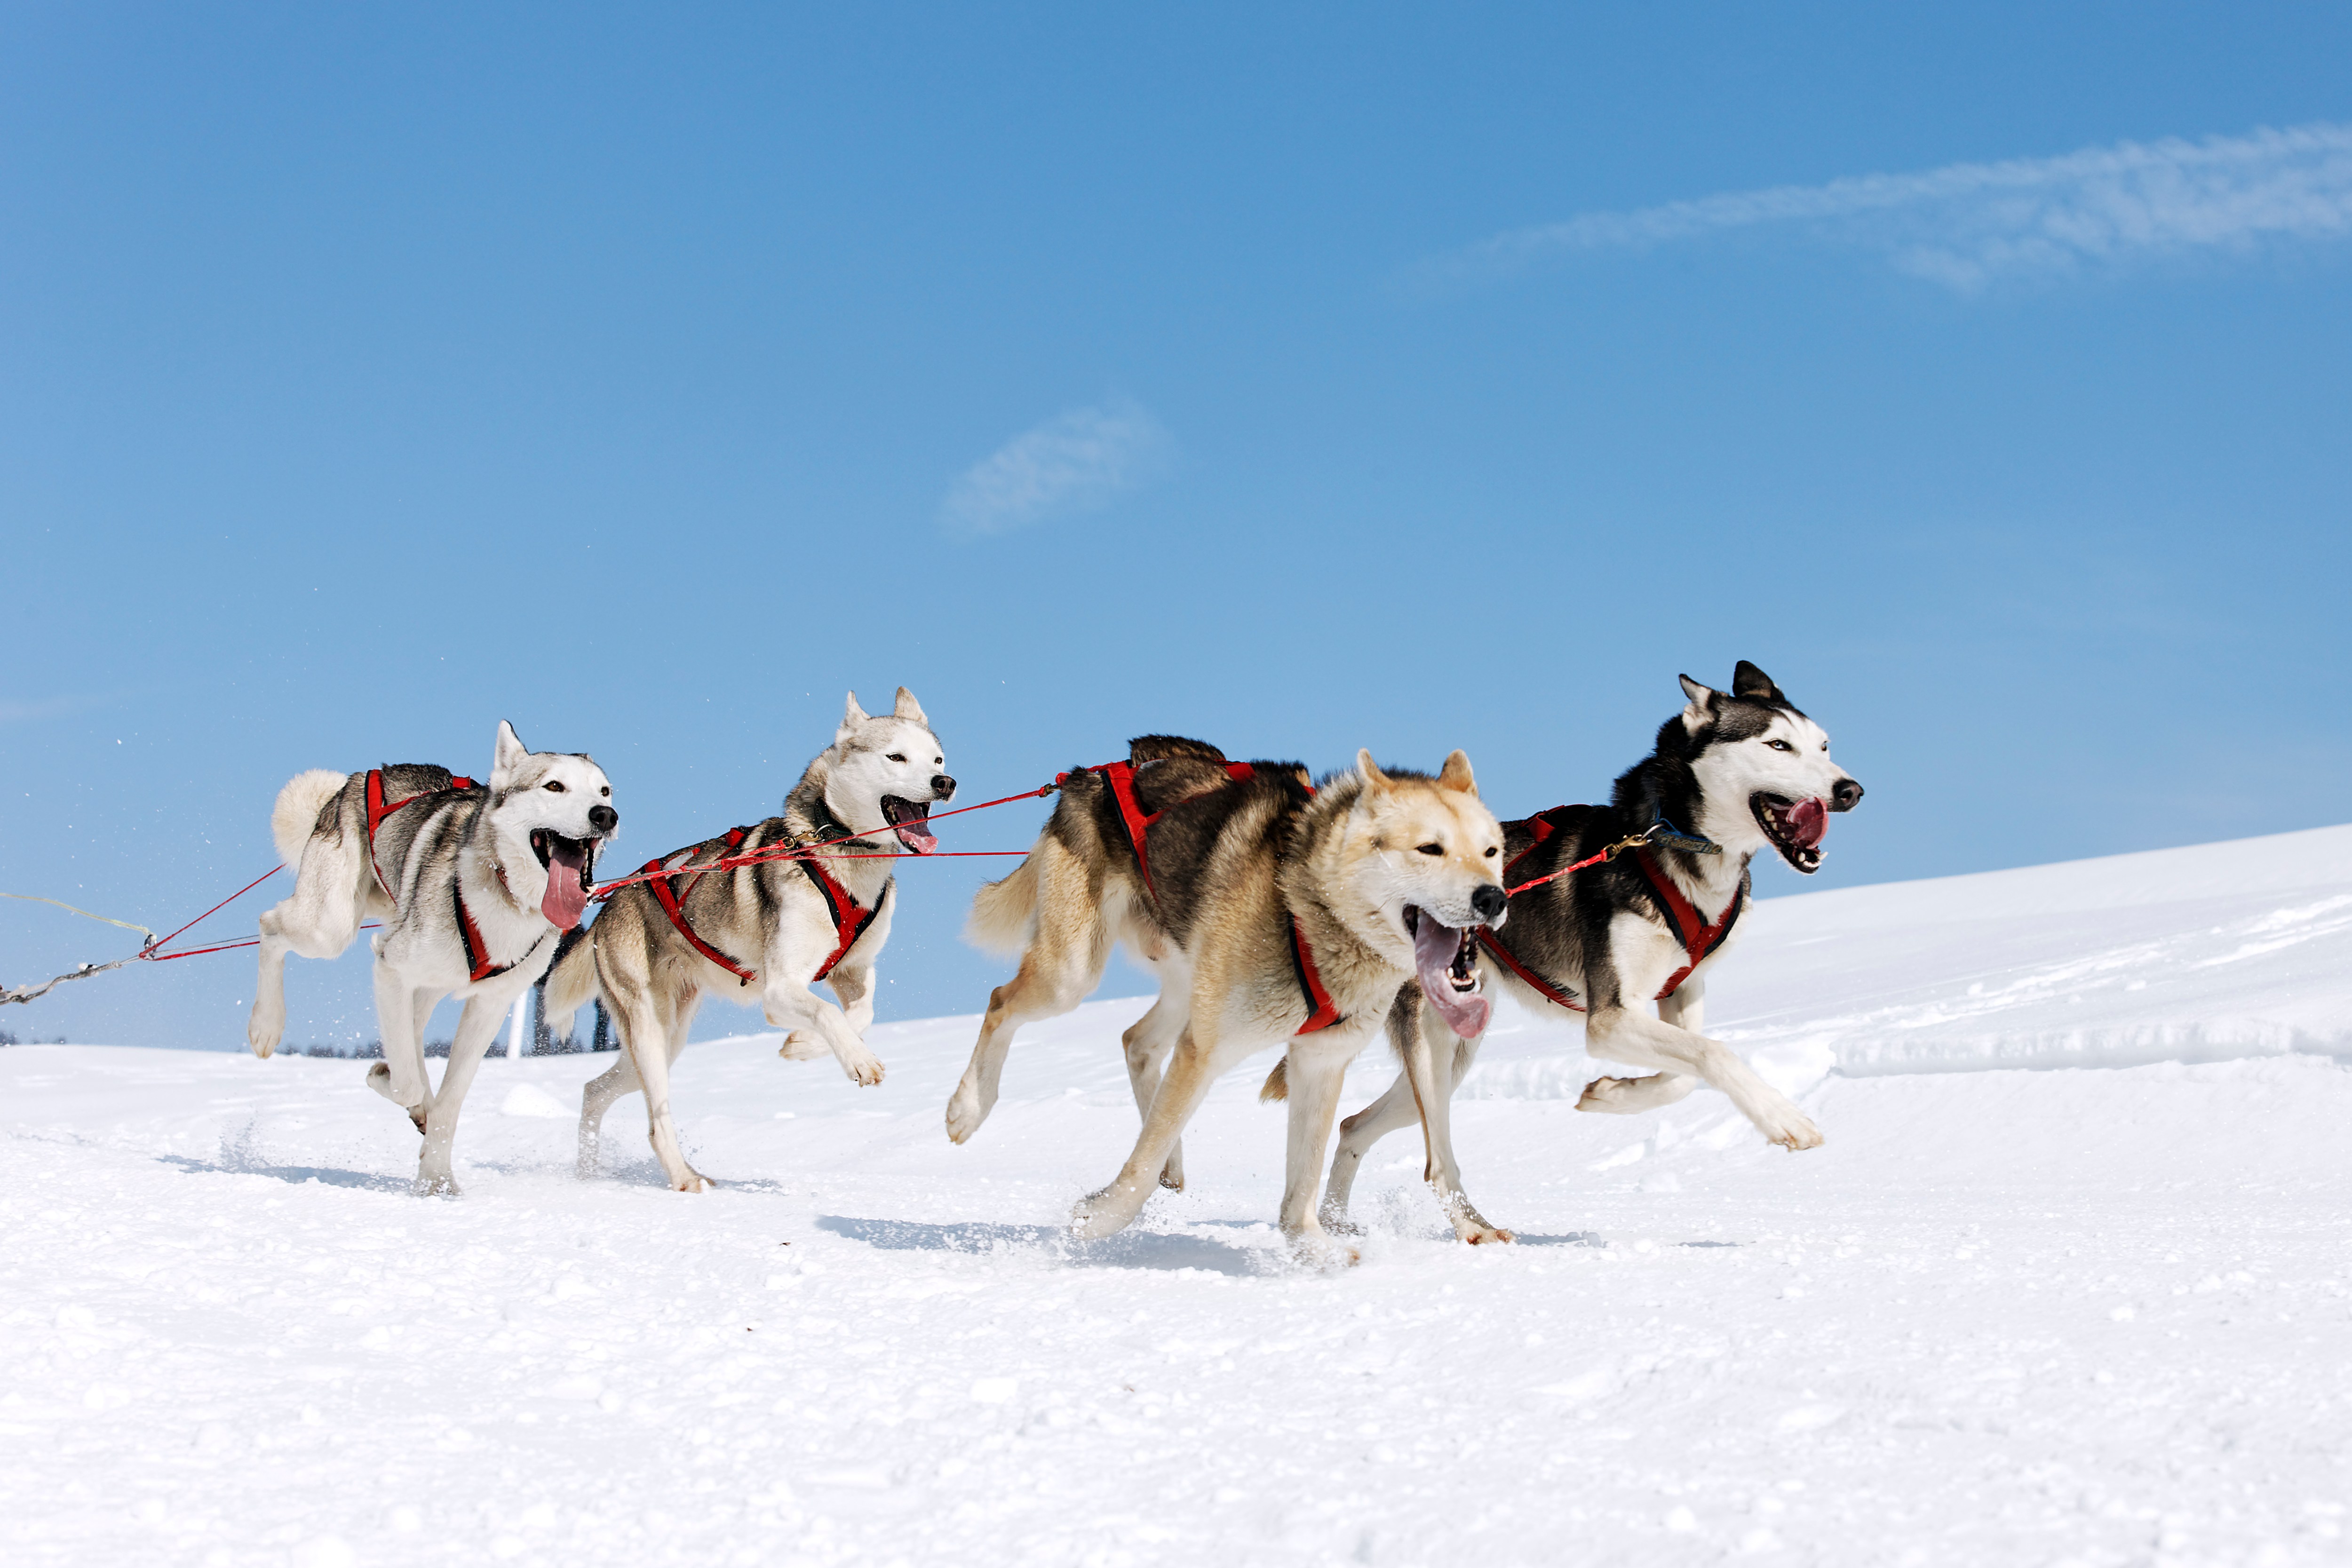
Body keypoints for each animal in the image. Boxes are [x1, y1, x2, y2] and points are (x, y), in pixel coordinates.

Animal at [250, 729, 616, 1194]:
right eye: (554, 786)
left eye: (604, 790)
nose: (606, 815)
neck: (506, 899)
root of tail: (363, 777)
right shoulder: (389, 966)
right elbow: (406, 1082)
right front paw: (401, 1091)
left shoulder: (489, 1005)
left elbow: (451, 1100)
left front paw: (437, 1179)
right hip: (329, 929)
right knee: (269, 926)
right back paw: (266, 1025)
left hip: (425, 983)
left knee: (412, 1033)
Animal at [546, 686, 950, 1189]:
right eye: (896, 757)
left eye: (937, 759)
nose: (945, 782)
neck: (835, 850)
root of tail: (608, 903)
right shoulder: (780, 988)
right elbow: (828, 1013)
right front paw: (858, 1059)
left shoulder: (851, 970)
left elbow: (861, 1013)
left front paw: (803, 1045)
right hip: (648, 1031)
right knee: (656, 1121)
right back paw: (685, 1178)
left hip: (666, 1038)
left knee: (594, 1090)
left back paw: (588, 1173)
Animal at [955, 743, 1505, 1260]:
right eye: (1430, 849)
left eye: (1492, 851)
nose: (1494, 898)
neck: (1307, 907)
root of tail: (1082, 778)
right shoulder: (1208, 1049)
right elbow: (1136, 1174)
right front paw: (1095, 1221)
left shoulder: (1319, 1061)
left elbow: (1301, 1185)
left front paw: (1313, 1249)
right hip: (1073, 974)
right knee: (1000, 1002)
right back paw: (967, 1108)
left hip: (1186, 984)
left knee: (1137, 1044)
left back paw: (1171, 1160)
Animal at [1317, 663, 1863, 1241]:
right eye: (1778, 744)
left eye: (1824, 745)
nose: (1850, 790)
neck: (1666, 843)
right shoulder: (1609, 1017)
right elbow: (1715, 1053)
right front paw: (1787, 1120)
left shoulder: (1679, 990)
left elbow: (1685, 1075)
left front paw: (1610, 1095)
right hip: (1434, 1043)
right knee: (1435, 1160)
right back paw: (1475, 1229)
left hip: (1453, 1055)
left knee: (1354, 1125)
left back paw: (1332, 1226)